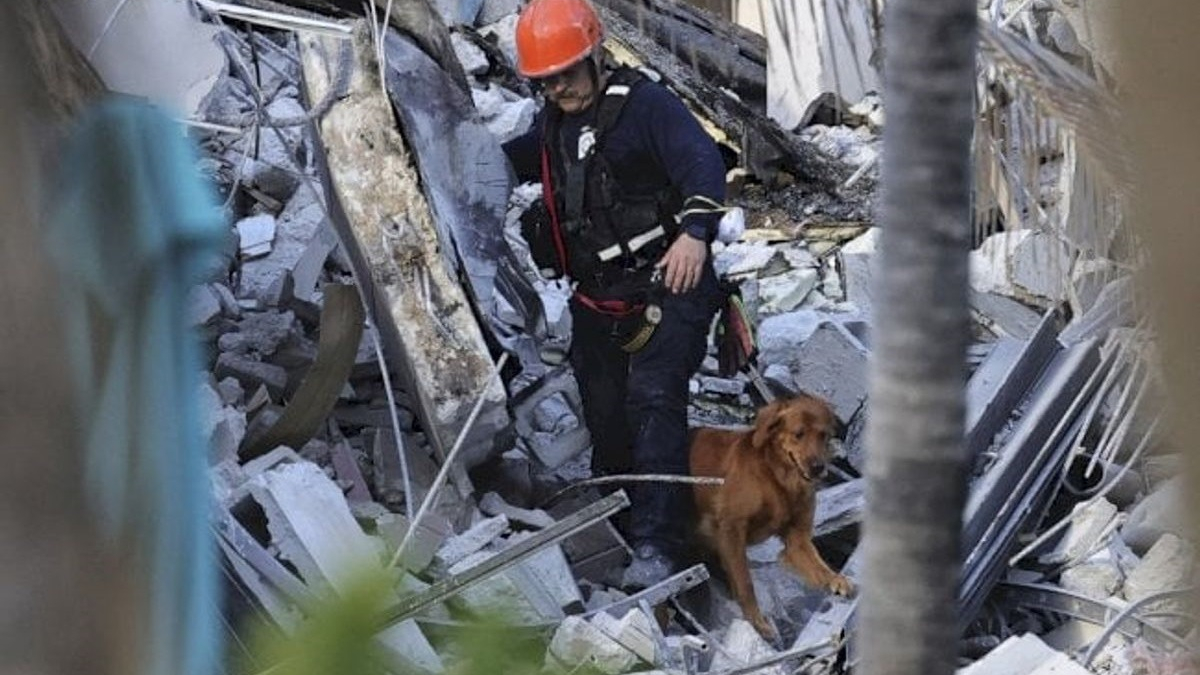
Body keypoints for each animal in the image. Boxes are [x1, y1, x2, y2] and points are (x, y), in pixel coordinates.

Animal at [686, 393, 854, 634]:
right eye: (798, 434)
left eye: (823, 435)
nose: (818, 468)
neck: (777, 478)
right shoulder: (732, 527)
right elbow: (745, 582)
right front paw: (757, 621)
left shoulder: (797, 539)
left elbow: (819, 565)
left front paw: (835, 578)